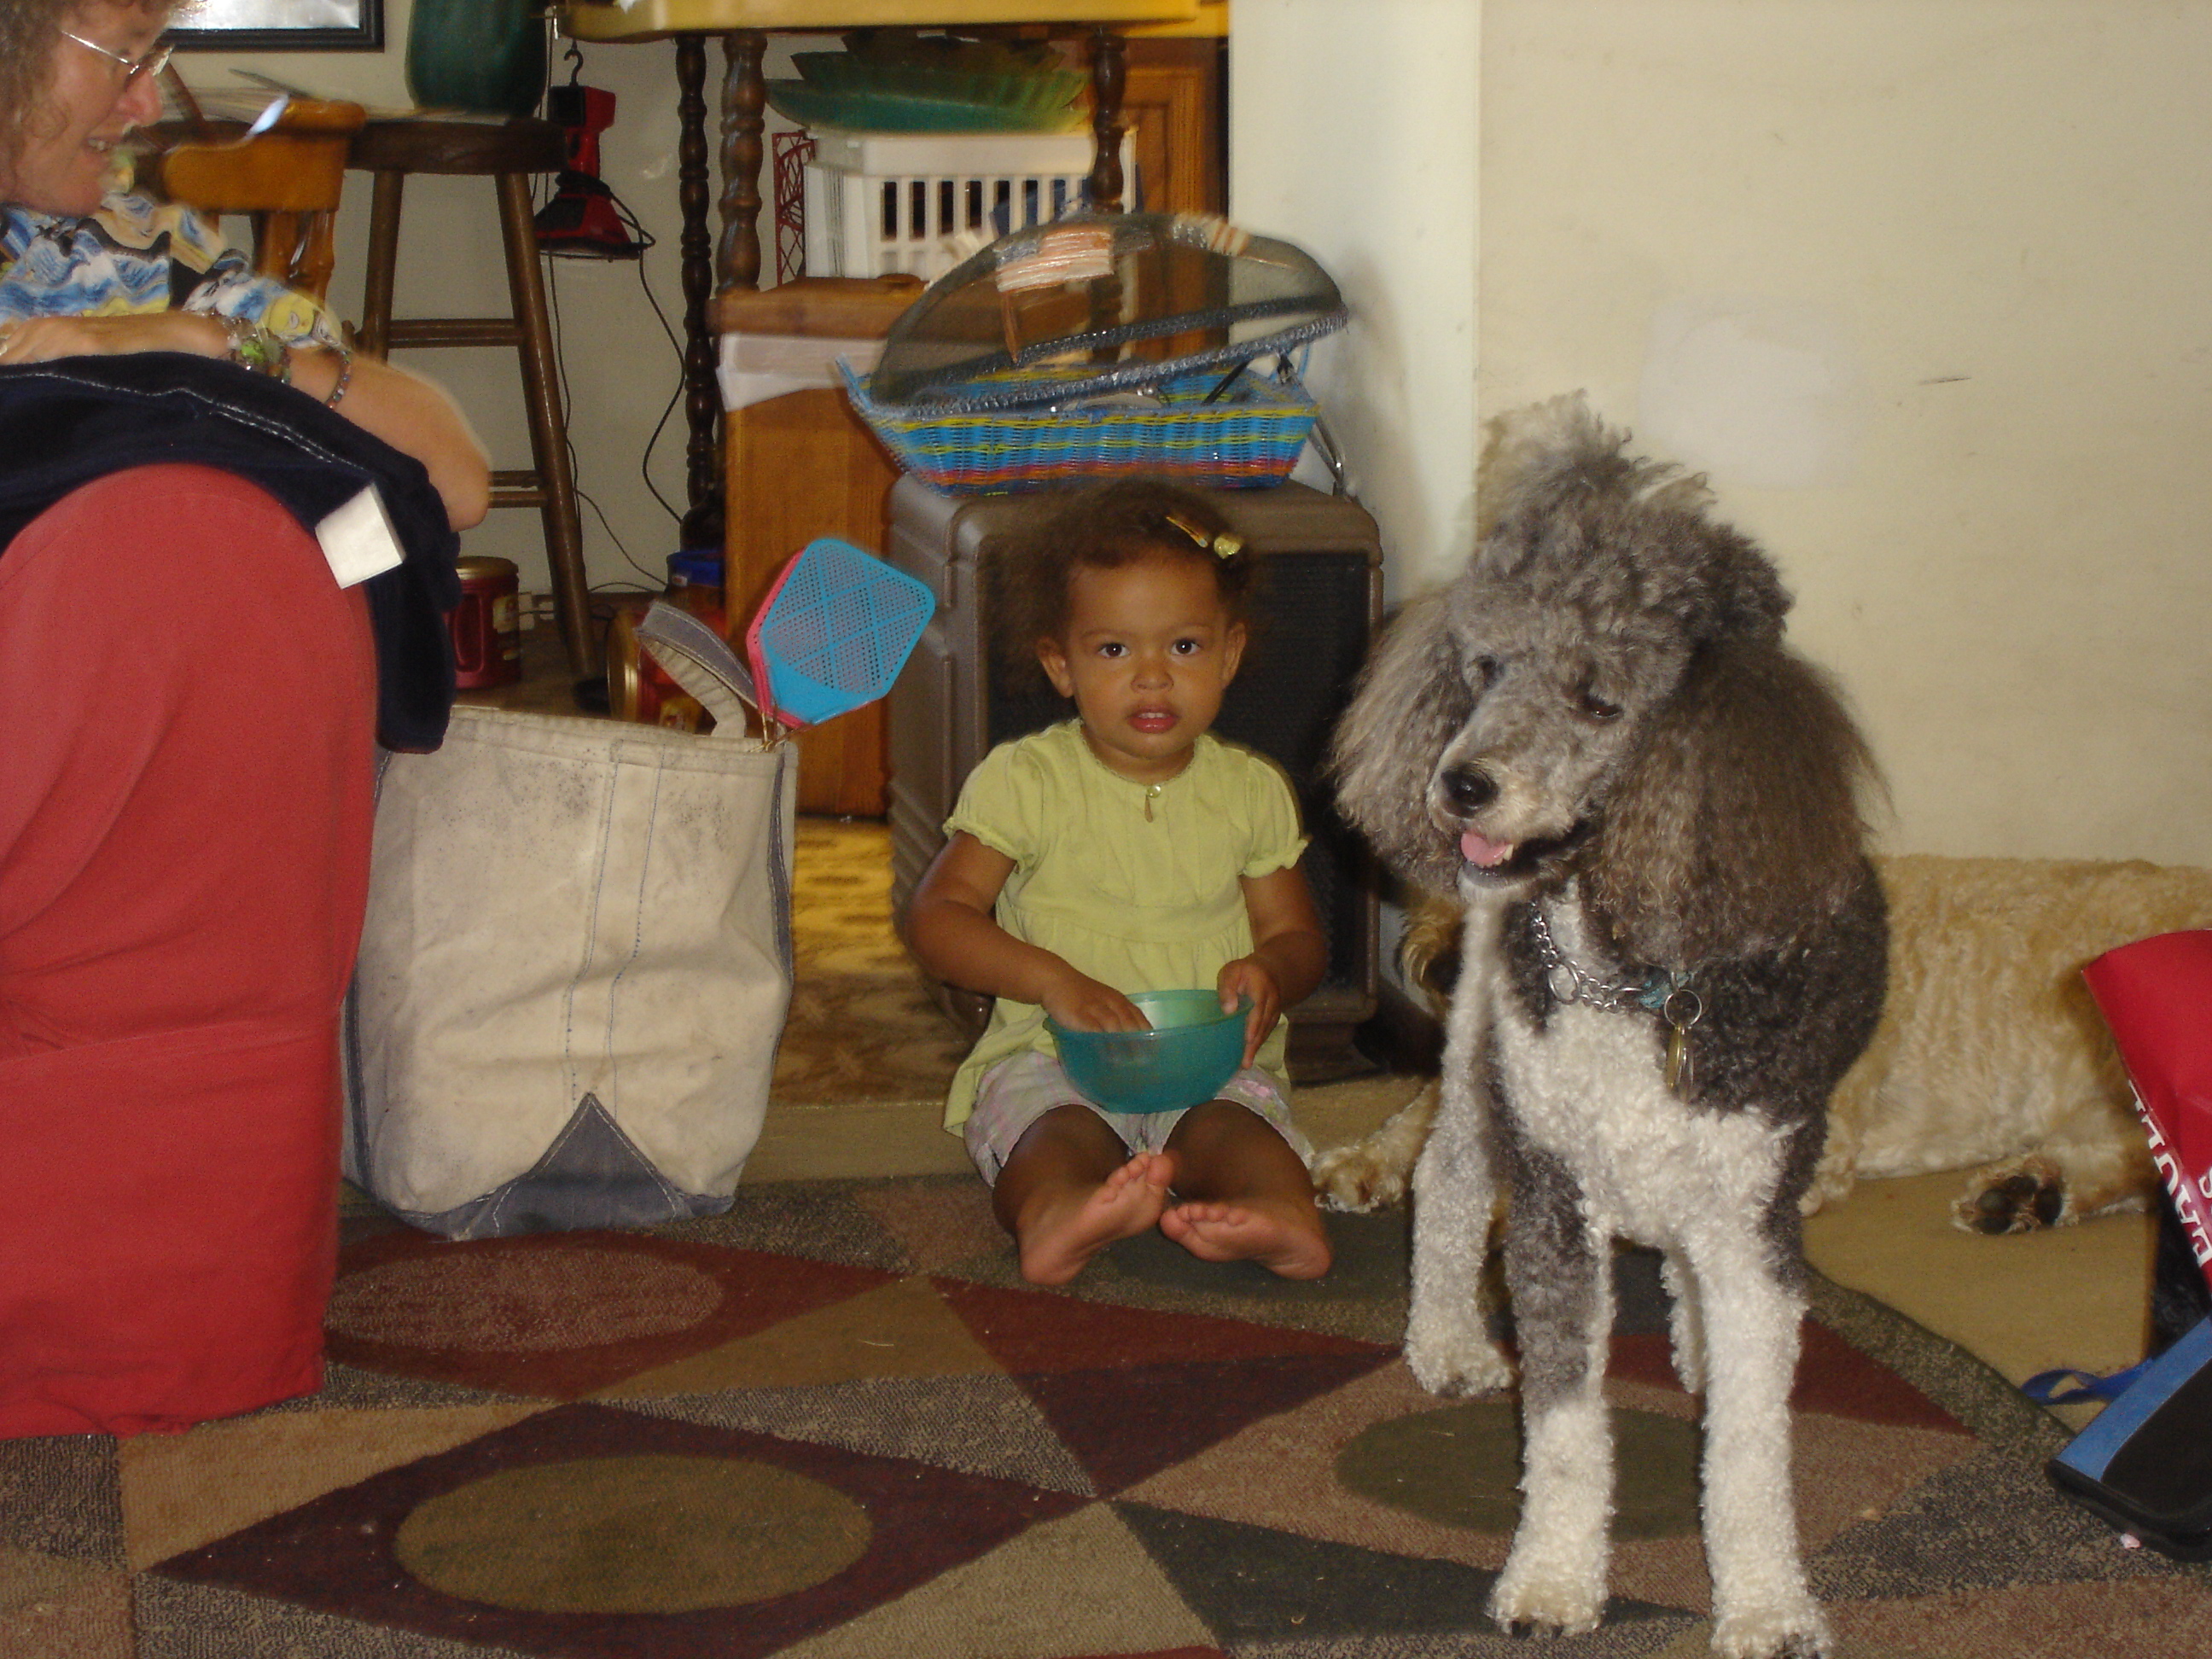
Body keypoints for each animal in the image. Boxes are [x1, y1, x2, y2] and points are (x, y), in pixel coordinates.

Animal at [1330, 395, 1886, 1658]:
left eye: (1599, 698)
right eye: (1487, 667)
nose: (1460, 783)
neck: (1637, 981)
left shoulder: (1753, 1218)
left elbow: (1750, 1451)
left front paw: (1767, 1603)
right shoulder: (1553, 1200)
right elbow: (1569, 1432)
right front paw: (1550, 1580)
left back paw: (1692, 1341)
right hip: (1480, 1060)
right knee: (1444, 1183)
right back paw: (1444, 1339)